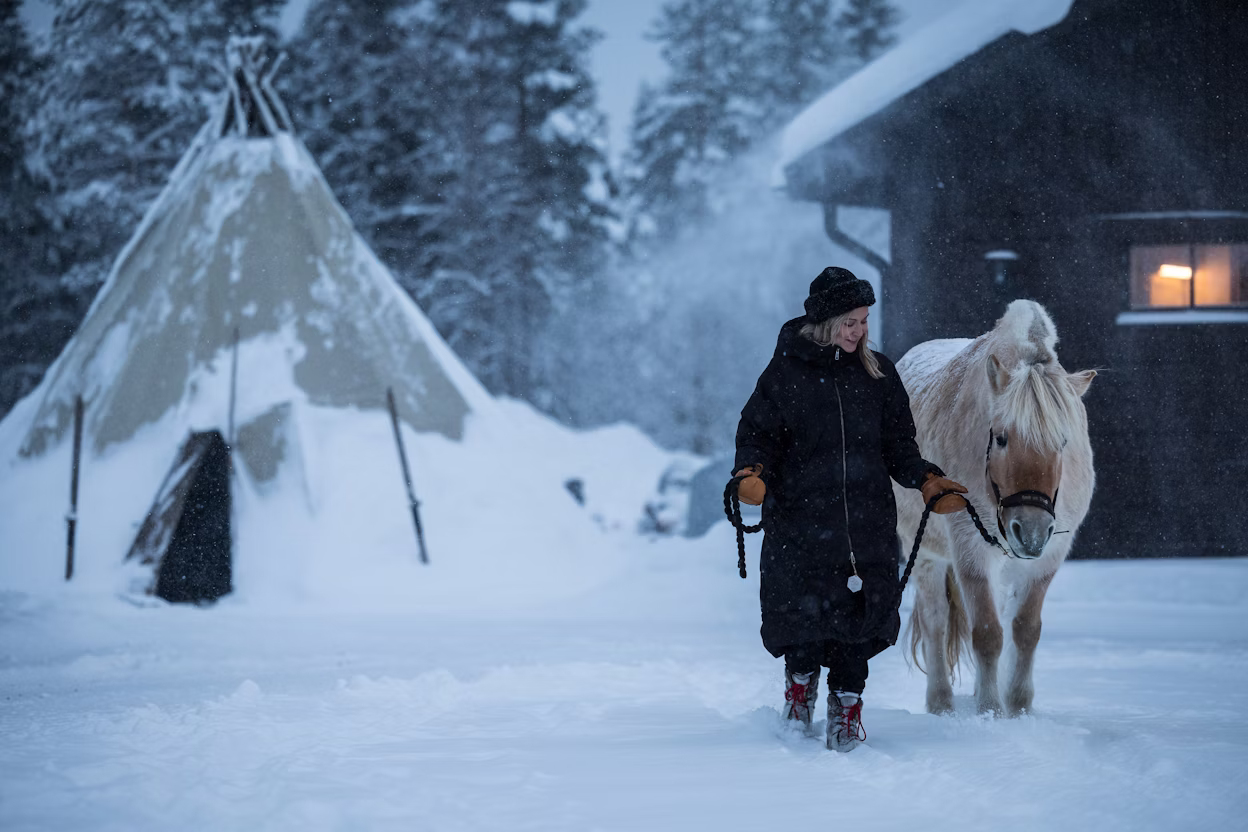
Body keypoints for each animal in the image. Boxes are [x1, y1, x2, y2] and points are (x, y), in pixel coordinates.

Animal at [893, 299, 1096, 716]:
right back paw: (941, 703)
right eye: (1001, 438)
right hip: (924, 553)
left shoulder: (1048, 556)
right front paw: (990, 711)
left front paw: (1018, 707)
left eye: (1063, 441)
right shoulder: (970, 548)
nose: (1030, 530)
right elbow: (986, 632)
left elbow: (1025, 630)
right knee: (935, 620)